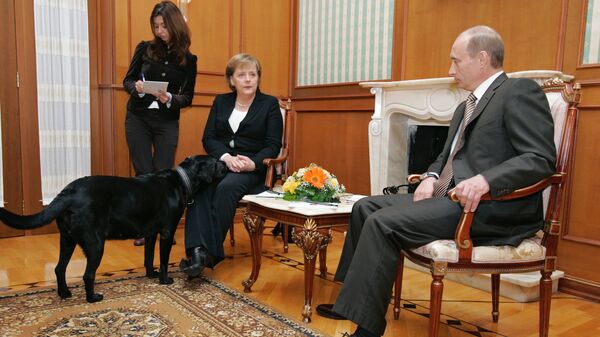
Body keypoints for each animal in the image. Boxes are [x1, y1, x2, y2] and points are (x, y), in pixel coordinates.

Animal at [0, 155, 226, 302]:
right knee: (87, 275)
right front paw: (164, 280)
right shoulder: (166, 232)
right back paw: (92, 298)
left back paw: (64, 293)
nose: (226, 161)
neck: (181, 180)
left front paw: (150, 275)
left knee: (59, 268)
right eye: (215, 162)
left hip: (67, 240)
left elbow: (149, 257)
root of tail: (69, 192)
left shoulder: (151, 234)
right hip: (95, 244)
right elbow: (162, 261)